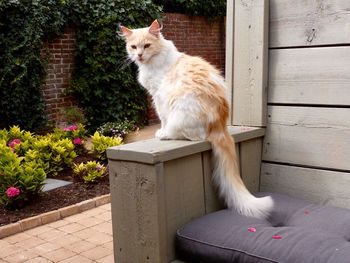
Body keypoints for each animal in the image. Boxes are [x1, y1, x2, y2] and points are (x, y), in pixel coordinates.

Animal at [120, 20, 274, 219]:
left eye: (146, 46)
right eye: (133, 47)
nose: (139, 55)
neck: (153, 62)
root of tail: (220, 124)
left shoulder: (159, 96)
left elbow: (162, 118)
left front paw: (160, 131)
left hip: (179, 108)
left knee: (189, 135)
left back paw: (166, 135)